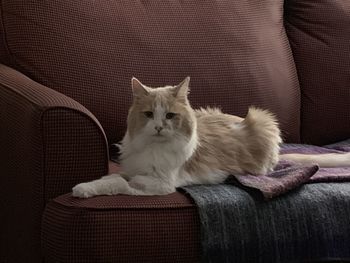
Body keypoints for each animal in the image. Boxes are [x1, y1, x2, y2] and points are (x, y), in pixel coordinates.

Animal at [72, 78, 350, 198]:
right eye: (149, 114)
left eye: (170, 115)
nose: (159, 127)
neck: (153, 148)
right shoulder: (132, 168)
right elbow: (112, 177)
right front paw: (85, 187)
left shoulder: (161, 184)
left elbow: (120, 183)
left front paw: (84, 190)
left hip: (263, 121)